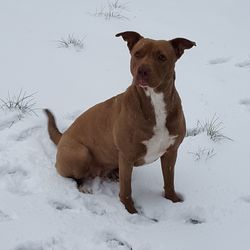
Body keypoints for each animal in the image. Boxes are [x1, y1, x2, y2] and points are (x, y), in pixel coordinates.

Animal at [46, 31, 196, 213]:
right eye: (137, 54)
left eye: (162, 57)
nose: (142, 71)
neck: (155, 102)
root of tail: (62, 136)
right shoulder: (127, 156)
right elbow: (126, 190)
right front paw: (130, 212)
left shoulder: (171, 152)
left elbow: (169, 182)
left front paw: (172, 200)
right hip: (80, 153)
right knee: (75, 176)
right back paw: (84, 186)